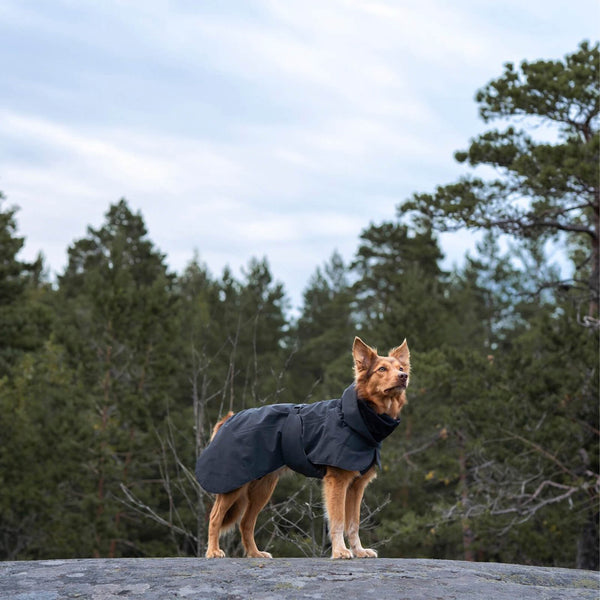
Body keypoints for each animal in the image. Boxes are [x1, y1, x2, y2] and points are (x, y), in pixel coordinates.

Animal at [195, 338, 410, 556]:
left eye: (400, 368)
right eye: (382, 369)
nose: (404, 376)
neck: (357, 419)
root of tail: (227, 419)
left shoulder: (356, 486)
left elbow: (353, 524)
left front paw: (359, 551)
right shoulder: (337, 481)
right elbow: (338, 520)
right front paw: (340, 552)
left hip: (262, 488)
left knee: (245, 523)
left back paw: (255, 553)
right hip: (233, 484)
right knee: (215, 517)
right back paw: (213, 551)